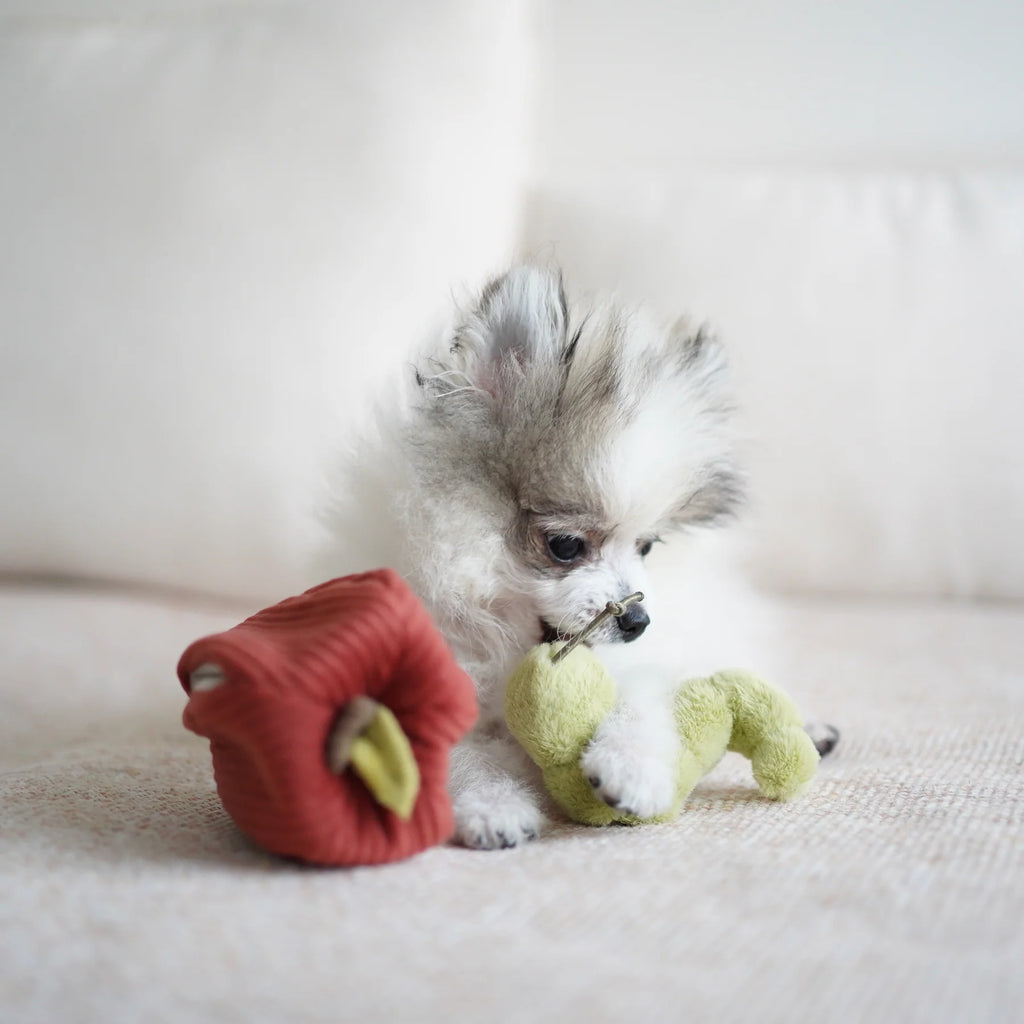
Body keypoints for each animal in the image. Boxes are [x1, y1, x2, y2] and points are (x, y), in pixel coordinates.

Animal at [323, 264, 786, 847]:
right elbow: (463, 757)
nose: (637, 620)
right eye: (565, 545)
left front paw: (632, 770)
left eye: (646, 546)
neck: (506, 647)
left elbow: (641, 697)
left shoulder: (648, 661)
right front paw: (494, 807)